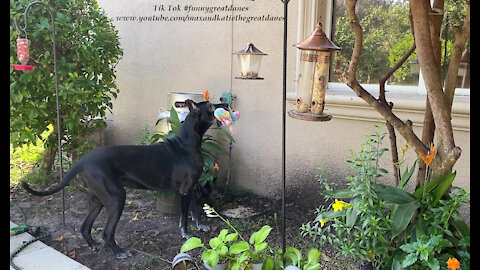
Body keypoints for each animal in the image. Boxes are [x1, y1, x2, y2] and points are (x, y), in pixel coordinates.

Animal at [23, 100, 229, 258]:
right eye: (211, 106)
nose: (225, 103)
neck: (188, 141)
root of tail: (82, 161)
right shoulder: (185, 189)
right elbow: (184, 215)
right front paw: (186, 233)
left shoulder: (191, 187)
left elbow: (194, 208)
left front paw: (200, 225)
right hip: (116, 198)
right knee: (106, 233)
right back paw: (120, 252)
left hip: (97, 199)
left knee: (85, 226)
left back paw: (94, 245)